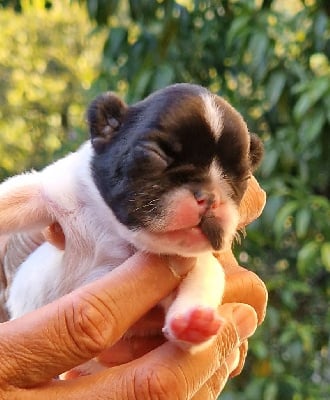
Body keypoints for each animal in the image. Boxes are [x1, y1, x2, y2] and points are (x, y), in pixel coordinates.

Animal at [0, 83, 262, 372]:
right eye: (156, 155)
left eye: (241, 177)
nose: (211, 196)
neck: (116, 233)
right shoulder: (51, 192)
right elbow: (11, 197)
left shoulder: (193, 263)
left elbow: (205, 279)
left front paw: (194, 324)